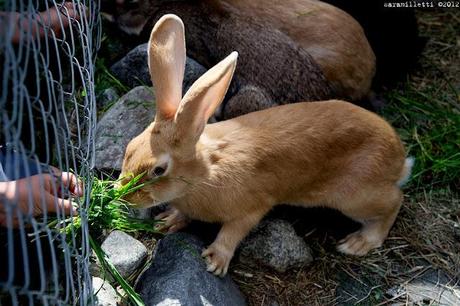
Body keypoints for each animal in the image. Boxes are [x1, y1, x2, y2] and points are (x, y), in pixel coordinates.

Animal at [120, 14, 412, 278]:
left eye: (159, 170)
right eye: (129, 147)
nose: (123, 195)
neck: (207, 170)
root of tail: (398, 158)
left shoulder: (252, 207)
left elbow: (233, 231)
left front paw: (215, 261)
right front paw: (168, 220)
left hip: (354, 197)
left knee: (394, 201)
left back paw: (358, 243)